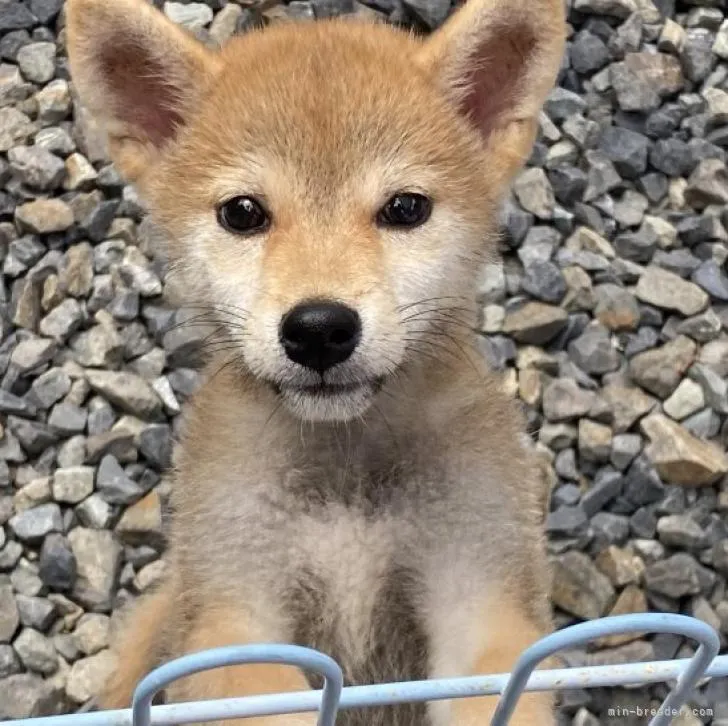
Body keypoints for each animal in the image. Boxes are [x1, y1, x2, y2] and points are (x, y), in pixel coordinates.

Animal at [65, 1, 564, 726]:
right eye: (243, 213)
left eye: (405, 208)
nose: (320, 329)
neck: (344, 473)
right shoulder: (233, 620)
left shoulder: (481, 599)